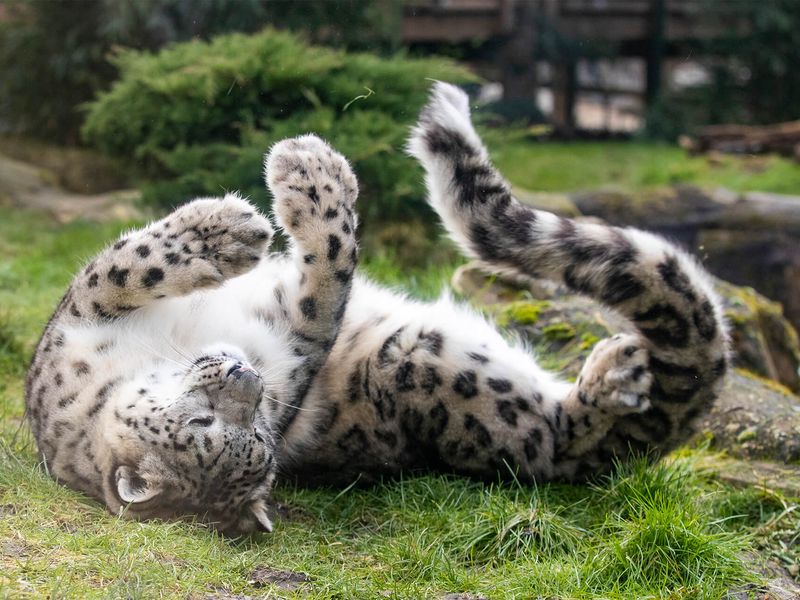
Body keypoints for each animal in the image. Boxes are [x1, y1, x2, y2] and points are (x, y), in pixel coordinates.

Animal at [25, 82, 728, 532]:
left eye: (257, 431)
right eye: (203, 426)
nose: (245, 373)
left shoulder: (279, 342)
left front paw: (261, 207)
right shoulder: (88, 316)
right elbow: (134, 264)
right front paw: (265, 207)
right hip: (427, 364)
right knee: (559, 431)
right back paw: (616, 375)